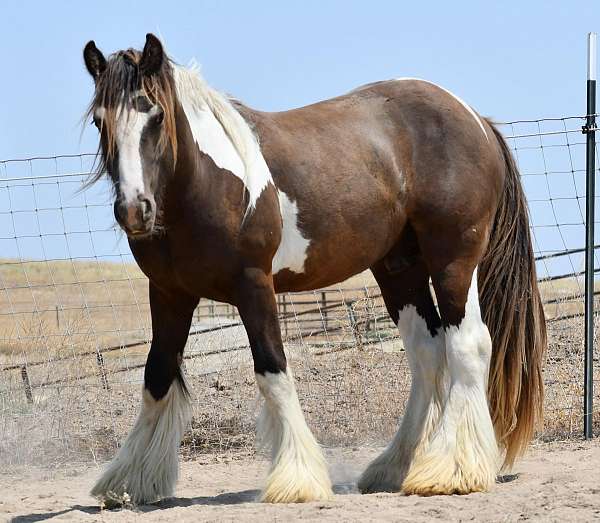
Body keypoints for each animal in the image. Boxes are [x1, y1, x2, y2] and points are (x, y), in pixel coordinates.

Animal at [82, 33, 548, 508]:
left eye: (155, 114)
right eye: (101, 121)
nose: (134, 209)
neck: (208, 182)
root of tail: (474, 119)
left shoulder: (253, 285)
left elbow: (272, 370)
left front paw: (296, 479)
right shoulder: (169, 292)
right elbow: (157, 375)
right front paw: (130, 480)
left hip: (453, 258)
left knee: (467, 345)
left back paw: (452, 470)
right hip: (400, 269)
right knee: (427, 352)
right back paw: (393, 467)